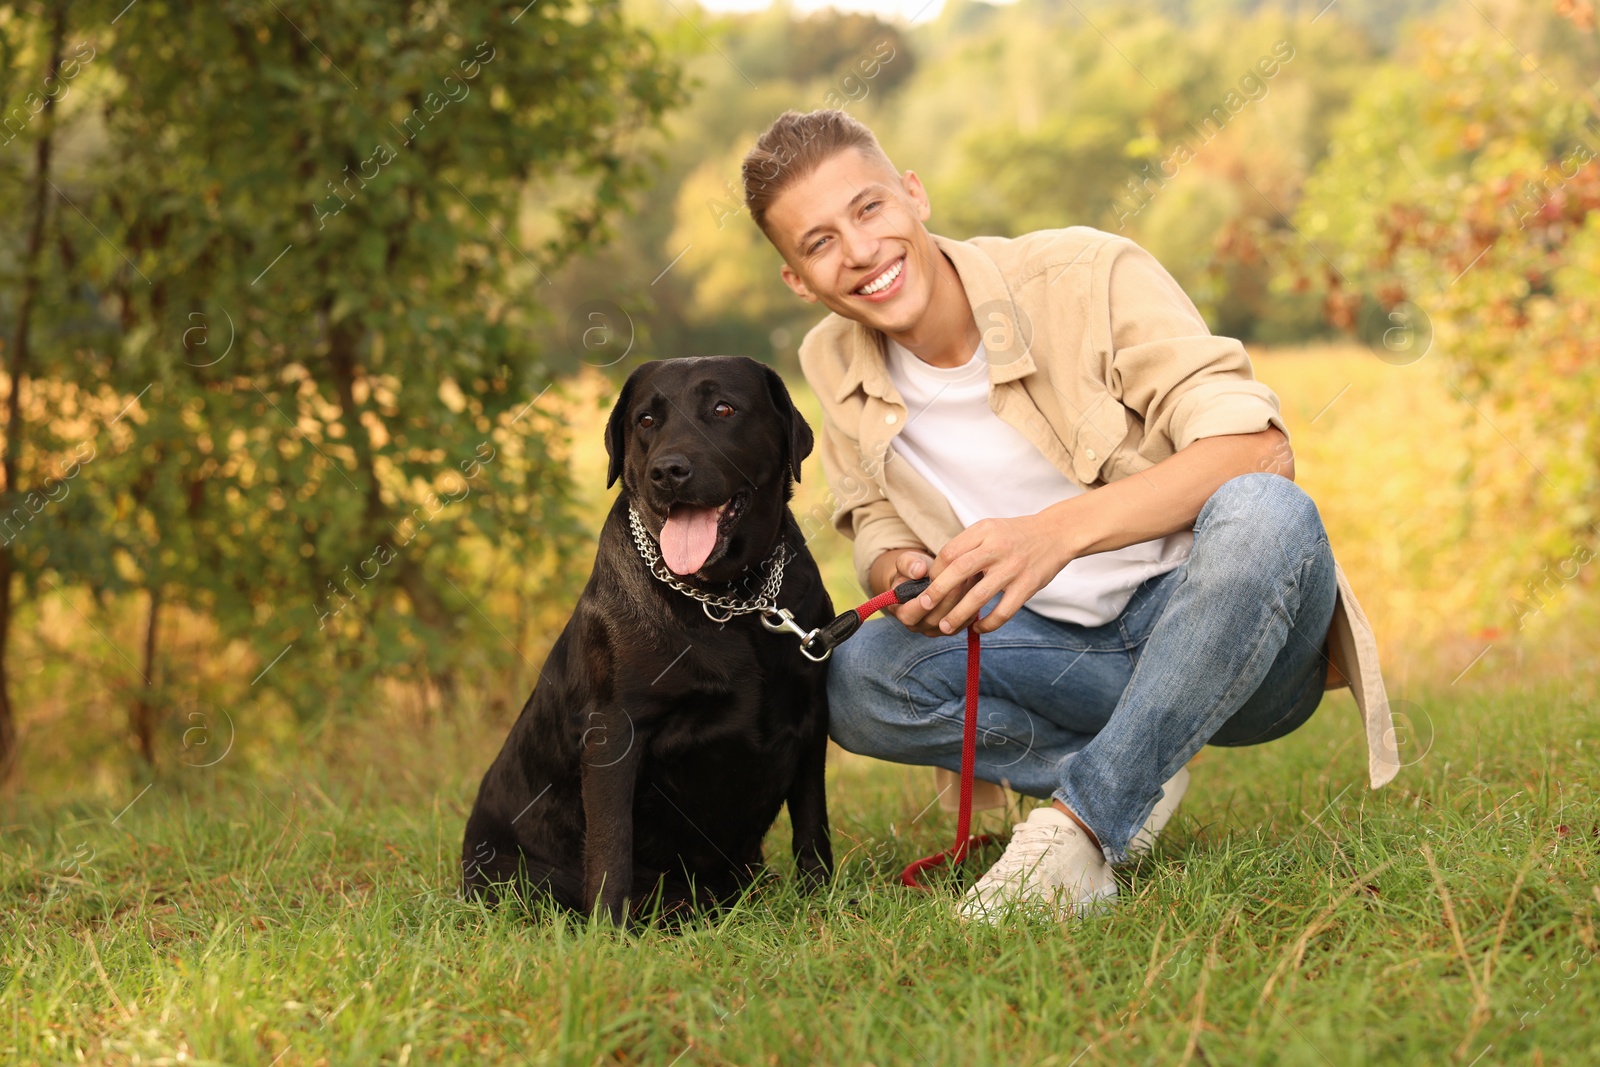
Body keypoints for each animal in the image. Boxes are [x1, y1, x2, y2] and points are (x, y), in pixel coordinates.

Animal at [464, 355, 838, 921]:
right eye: (645, 420)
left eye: (723, 408)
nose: (668, 470)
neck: (731, 600)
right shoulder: (616, 731)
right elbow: (611, 843)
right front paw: (608, 928)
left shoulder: (812, 716)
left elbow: (813, 826)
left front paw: (824, 901)